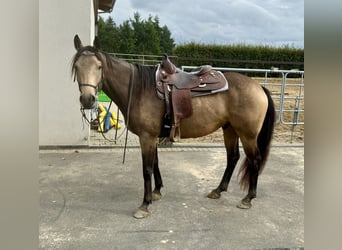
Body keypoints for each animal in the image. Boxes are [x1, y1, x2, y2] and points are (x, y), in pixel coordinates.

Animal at [71, 35, 276, 219]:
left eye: (99, 66)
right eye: (76, 67)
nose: (87, 100)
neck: (138, 90)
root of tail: (259, 87)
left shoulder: (147, 137)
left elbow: (147, 169)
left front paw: (144, 205)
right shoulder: (152, 137)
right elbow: (155, 163)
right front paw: (156, 192)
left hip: (248, 135)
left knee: (255, 160)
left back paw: (248, 198)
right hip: (230, 129)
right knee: (232, 158)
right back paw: (218, 190)